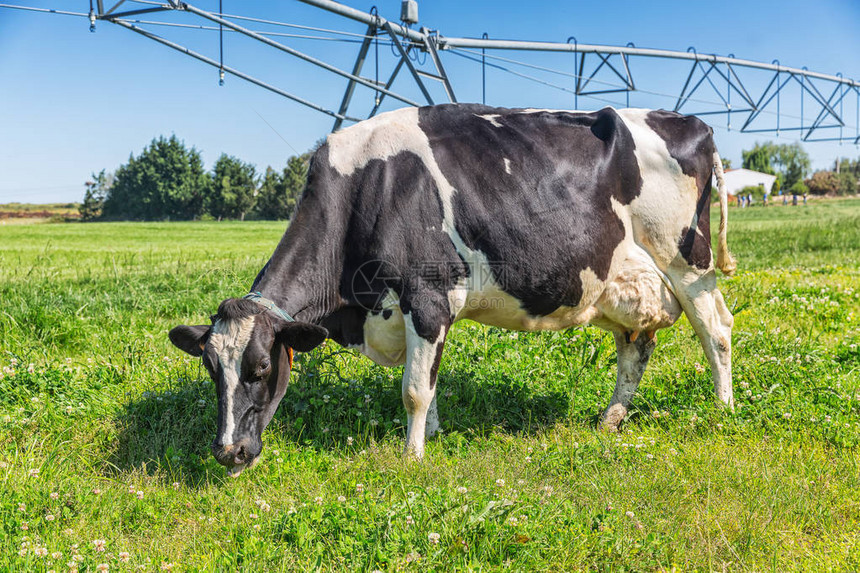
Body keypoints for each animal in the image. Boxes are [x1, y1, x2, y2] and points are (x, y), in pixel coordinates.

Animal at [171, 103, 736, 474]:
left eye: (261, 369)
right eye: (210, 369)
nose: (228, 452)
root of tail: (692, 123)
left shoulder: (427, 295)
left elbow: (414, 389)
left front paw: (413, 456)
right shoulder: (417, 312)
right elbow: (431, 377)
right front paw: (435, 435)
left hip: (688, 261)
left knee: (717, 330)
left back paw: (723, 412)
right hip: (625, 282)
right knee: (636, 346)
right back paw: (610, 420)